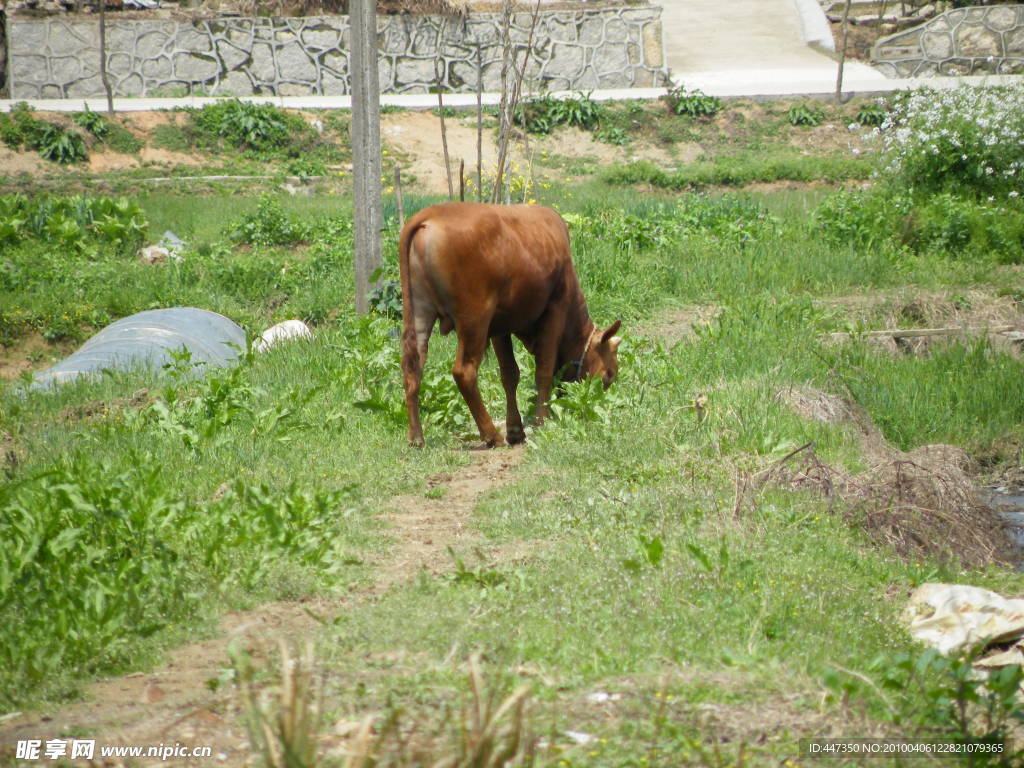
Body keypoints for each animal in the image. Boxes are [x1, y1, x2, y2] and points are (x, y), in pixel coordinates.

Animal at [399, 201, 622, 448]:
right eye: (608, 375)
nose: (596, 405)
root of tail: (430, 214)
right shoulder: (555, 308)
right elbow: (544, 369)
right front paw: (541, 421)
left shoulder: (499, 327)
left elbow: (510, 374)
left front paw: (516, 429)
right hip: (474, 320)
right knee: (464, 372)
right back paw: (491, 435)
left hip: (419, 312)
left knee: (412, 367)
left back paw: (417, 437)